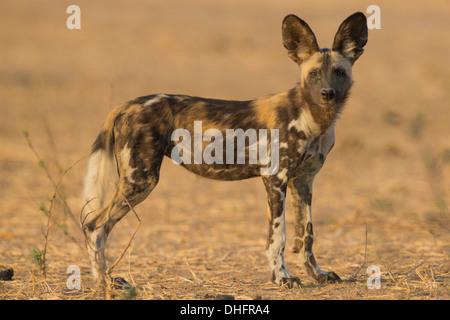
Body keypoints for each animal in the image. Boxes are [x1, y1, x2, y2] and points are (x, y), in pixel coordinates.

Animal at [83, 12, 366, 288]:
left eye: (339, 72)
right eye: (314, 74)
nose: (327, 93)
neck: (313, 119)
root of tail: (127, 104)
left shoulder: (304, 182)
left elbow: (306, 234)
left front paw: (317, 275)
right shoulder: (275, 179)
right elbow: (278, 237)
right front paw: (281, 277)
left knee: (95, 226)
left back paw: (107, 279)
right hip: (140, 181)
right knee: (95, 226)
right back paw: (103, 282)